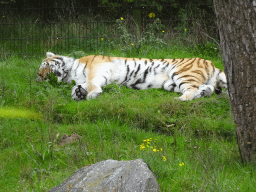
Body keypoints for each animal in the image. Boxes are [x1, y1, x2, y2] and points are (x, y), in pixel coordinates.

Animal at [37, 51, 226, 101]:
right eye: (40, 76)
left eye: (45, 66)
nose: (41, 77)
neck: (70, 73)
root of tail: (212, 64)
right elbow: (82, 85)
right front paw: (77, 93)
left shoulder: (97, 68)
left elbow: (91, 82)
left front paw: (91, 94)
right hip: (170, 83)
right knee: (205, 88)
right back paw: (204, 93)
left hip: (180, 72)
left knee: (191, 90)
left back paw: (179, 100)